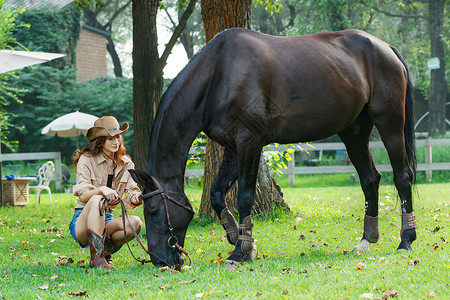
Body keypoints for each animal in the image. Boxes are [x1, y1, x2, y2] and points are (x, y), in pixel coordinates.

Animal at [128, 28, 416, 266]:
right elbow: (217, 194)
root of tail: (386, 48)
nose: (159, 260)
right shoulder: (233, 148)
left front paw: (240, 251)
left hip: (390, 123)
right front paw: (240, 240)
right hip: (354, 133)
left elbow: (244, 196)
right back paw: (367, 239)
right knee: (370, 179)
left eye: (154, 211)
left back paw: (406, 240)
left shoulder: (250, 142)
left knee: (402, 178)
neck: (218, 75)